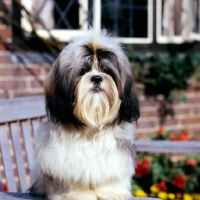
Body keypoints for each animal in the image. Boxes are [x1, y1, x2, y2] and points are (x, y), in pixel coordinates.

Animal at [30, 30, 139, 200]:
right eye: (83, 71)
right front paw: (77, 194)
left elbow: (109, 176)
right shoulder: (64, 161)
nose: (96, 78)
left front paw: (112, 193)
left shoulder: (114, 157)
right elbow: (72, 178)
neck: (93, 121)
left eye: (106, 71)